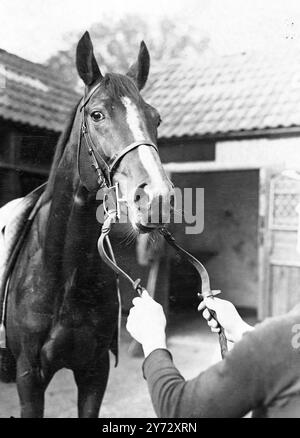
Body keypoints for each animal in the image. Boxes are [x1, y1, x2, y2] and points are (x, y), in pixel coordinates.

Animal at [0, 31, 173, 418]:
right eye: (97, 115)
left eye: (155, 118)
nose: (156, 199)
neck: (65, 273)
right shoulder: (28, 379)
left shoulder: (95, 372)